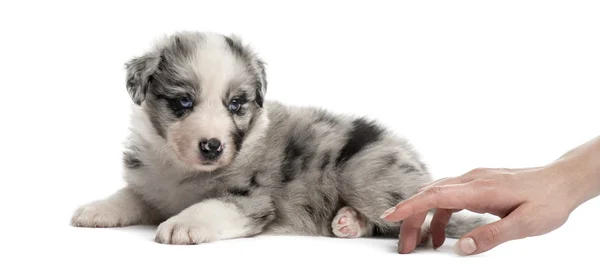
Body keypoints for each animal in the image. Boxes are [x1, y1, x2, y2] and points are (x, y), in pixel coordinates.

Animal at [72, 31, 490, 246]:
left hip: (365, 171)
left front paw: (182, 225)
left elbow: (213, 206)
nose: (212, 146)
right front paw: (95, 210)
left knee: (417, 223)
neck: (182, 170)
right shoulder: (151, 184)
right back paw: (347, 222)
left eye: (236, 104)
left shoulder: (252, 199)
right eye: (183, 102)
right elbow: (129, 196)